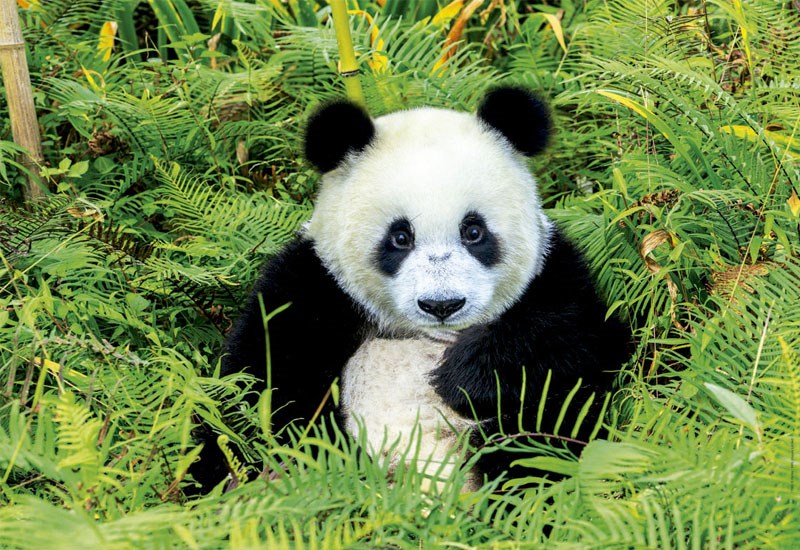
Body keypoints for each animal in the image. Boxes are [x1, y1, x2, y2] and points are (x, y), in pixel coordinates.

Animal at [191, 86, 630, 492]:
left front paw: (464, 373)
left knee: (538, 440)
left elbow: (582, 341)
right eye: (400, 237)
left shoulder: (553, 273)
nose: (442, 304)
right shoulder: (314, 285)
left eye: (473, 231)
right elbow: (257, 385)